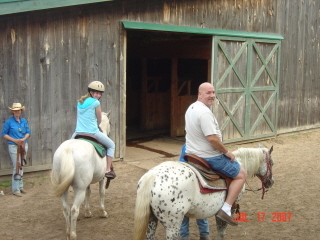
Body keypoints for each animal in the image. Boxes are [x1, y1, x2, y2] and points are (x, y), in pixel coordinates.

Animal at [51, 111, 111, 239]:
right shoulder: (103, 178)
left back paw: (68, 234)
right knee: (74, 210)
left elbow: (89, 193)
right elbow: (101, 192)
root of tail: (68, 149)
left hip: (65, 189)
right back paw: (73, 235)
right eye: (111, 123)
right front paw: (103, 212)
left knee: (66, 209)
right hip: (79, 189)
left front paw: (88, 212)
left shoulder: (87, 184)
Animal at [134, 146, 274, 240]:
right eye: (272, 163)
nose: (271, 182)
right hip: (172, 225)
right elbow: (221, 231)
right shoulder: (230, 210)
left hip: (152, 219)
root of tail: (152, 175)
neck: (241, 164)